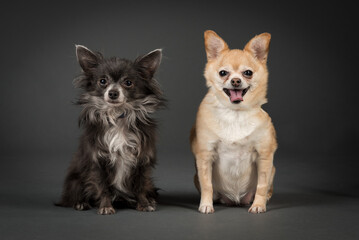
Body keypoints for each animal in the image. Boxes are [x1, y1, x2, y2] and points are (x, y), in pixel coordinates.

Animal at [191, 30, 278, 214]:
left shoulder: (264, 155)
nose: (236, 81)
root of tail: (235, 201)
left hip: (272, 170)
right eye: (223, 73)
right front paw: (206, 205)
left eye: (248, 73)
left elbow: (261, 185)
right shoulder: (205, 155)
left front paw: (258, 205)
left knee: (267, 188)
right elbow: (207, 184)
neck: (235, 113)